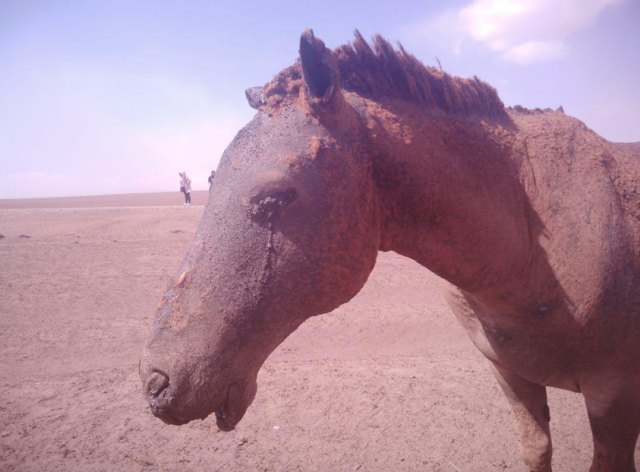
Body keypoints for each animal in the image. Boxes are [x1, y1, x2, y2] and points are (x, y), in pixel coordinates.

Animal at [141, 30, 640, 472]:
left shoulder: (615, 398)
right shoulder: (512, 378)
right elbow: (536, 451)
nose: (155, 382)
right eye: (209, 181)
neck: (529, 251)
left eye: (274, 197)